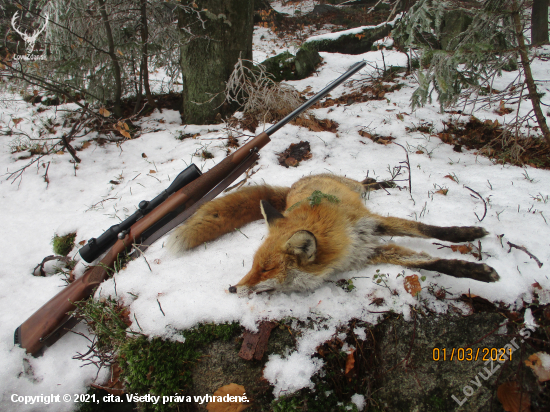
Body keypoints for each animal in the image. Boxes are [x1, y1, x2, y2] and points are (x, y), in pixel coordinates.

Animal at [168, 172, 500, 294]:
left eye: (265, 269)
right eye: (252, 267)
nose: (231, 289)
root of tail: (294, 185)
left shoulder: (372, 223)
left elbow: (425, 229)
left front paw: (467, 233)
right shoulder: (370, 252)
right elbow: (430, 262)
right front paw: (476, 270)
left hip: (354, 189)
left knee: (365, 183)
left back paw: (385, 183)